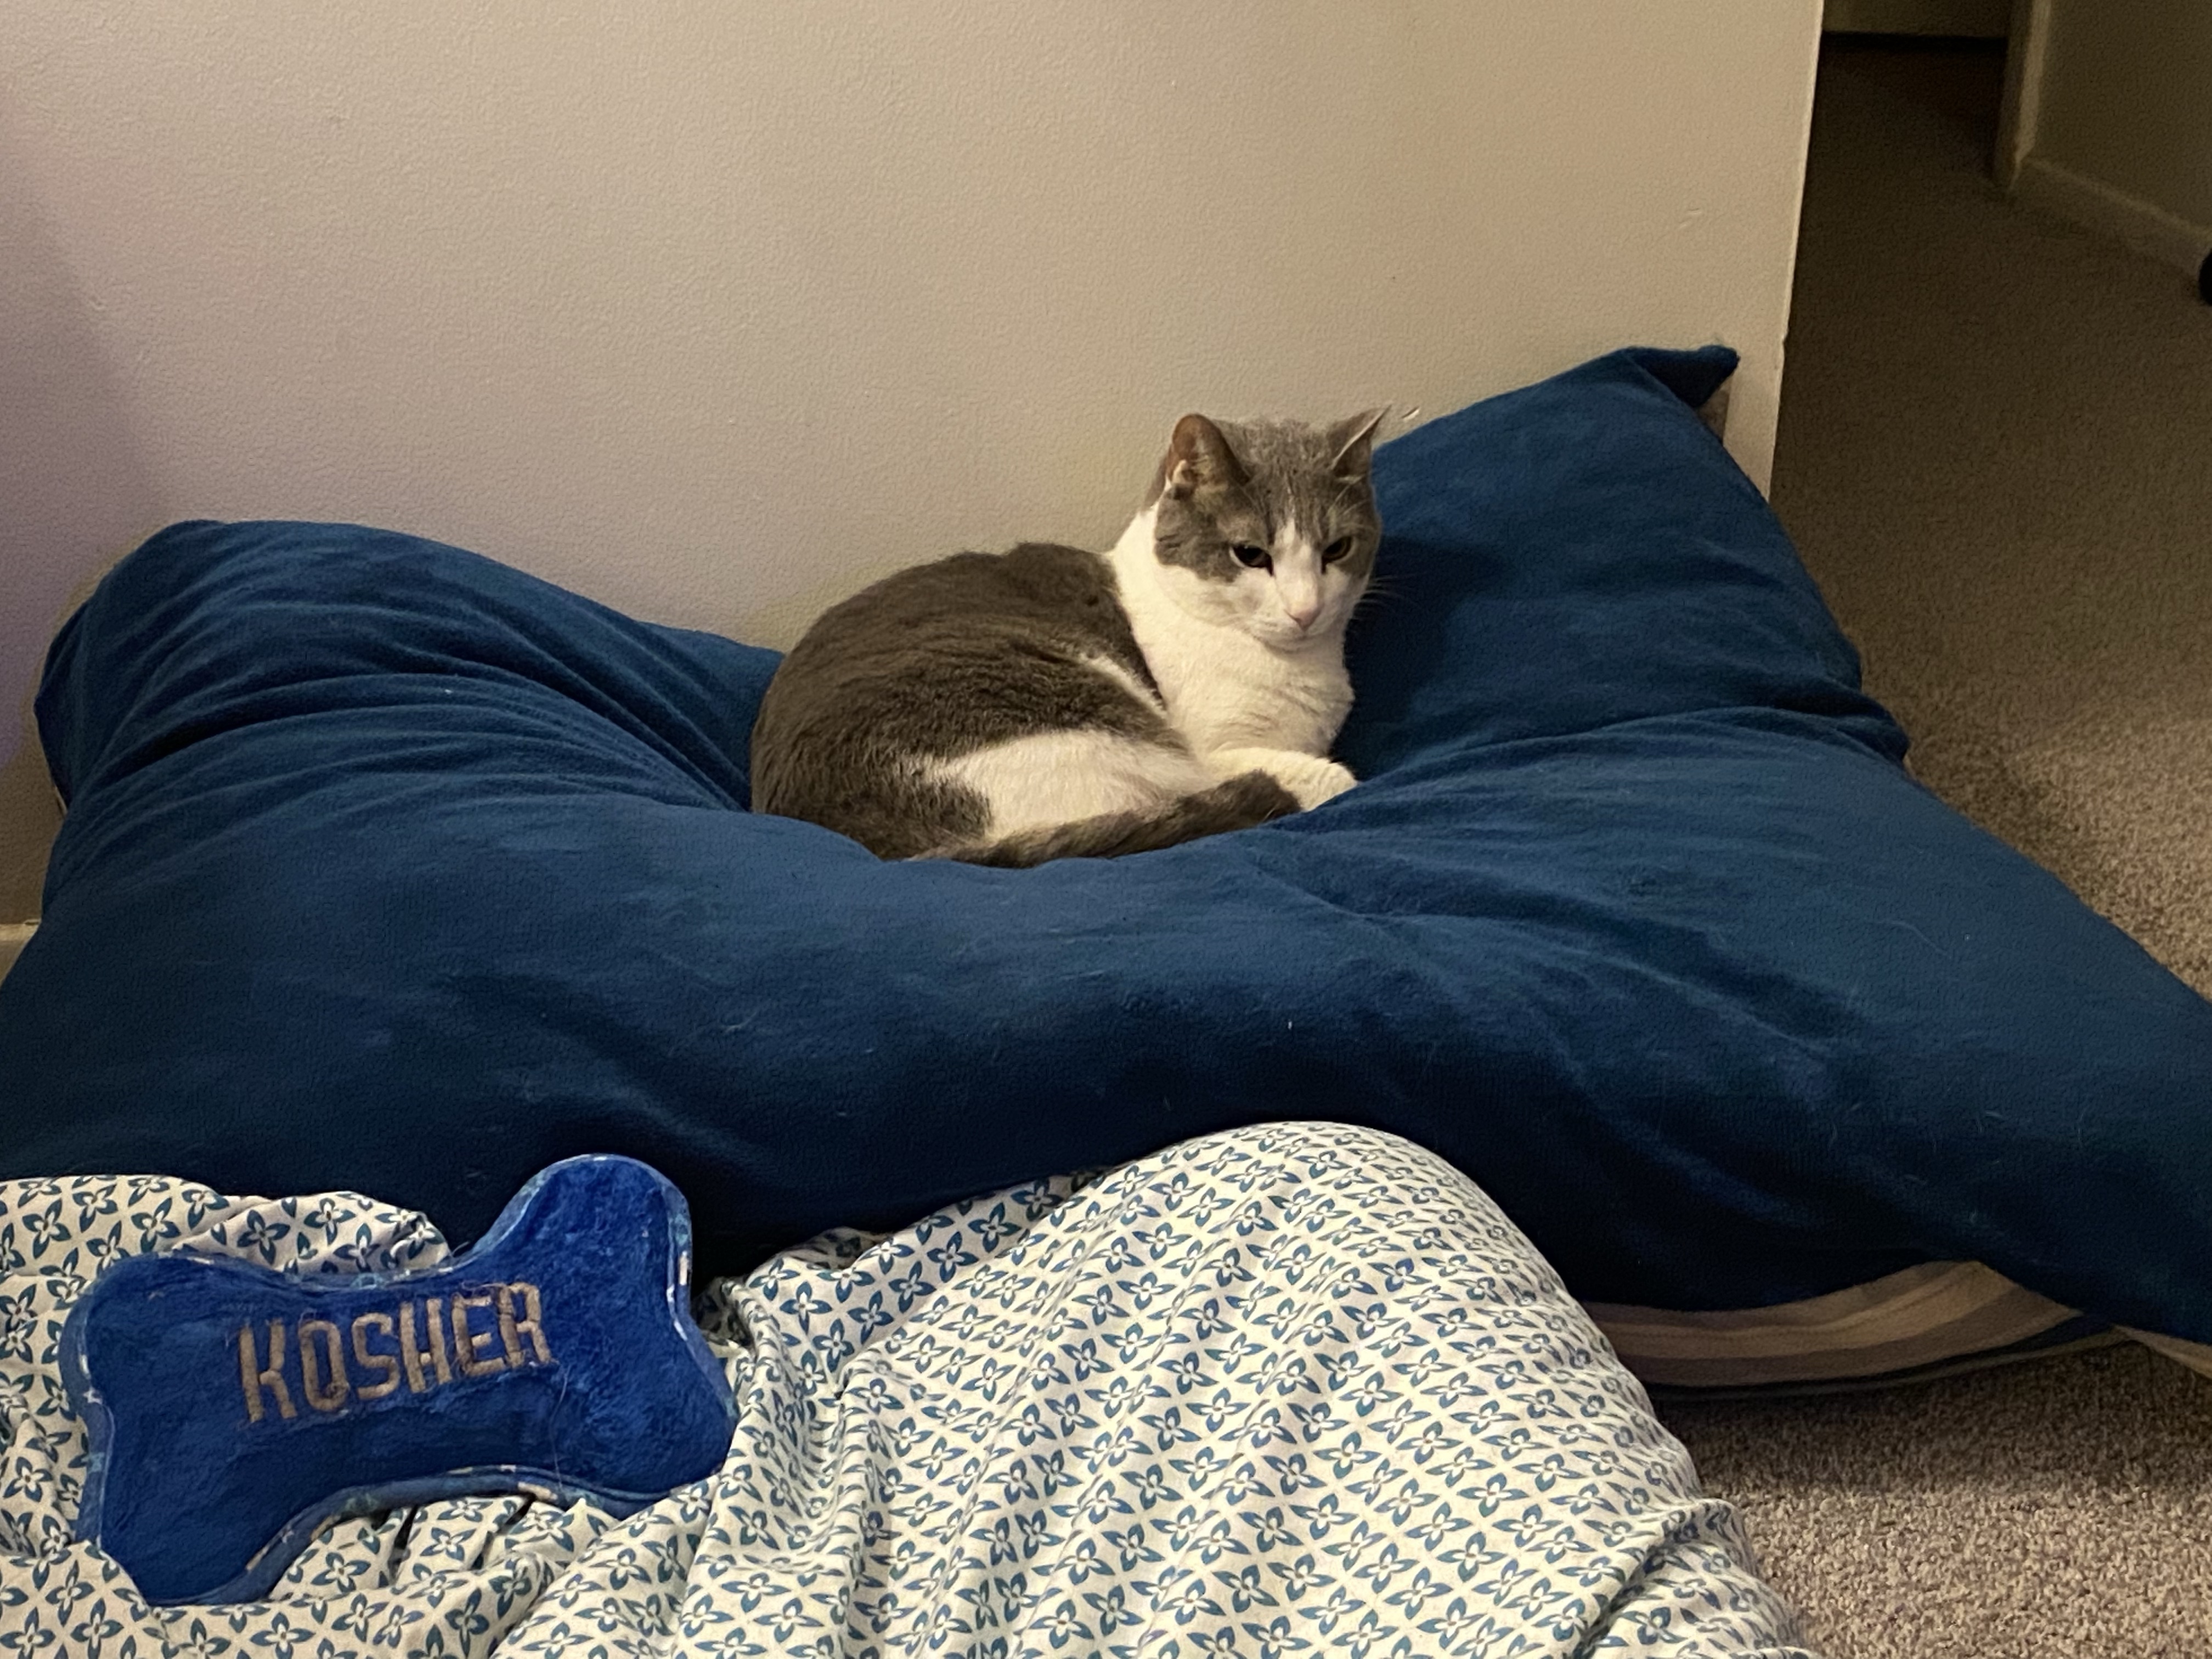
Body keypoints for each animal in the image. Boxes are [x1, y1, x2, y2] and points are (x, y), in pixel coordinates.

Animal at [749, 408, 1387, 866]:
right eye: (1251, 555)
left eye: (1337, 549)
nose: (1306, 610)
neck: (1302, 664)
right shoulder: (1215, 751)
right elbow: (1322, 772)